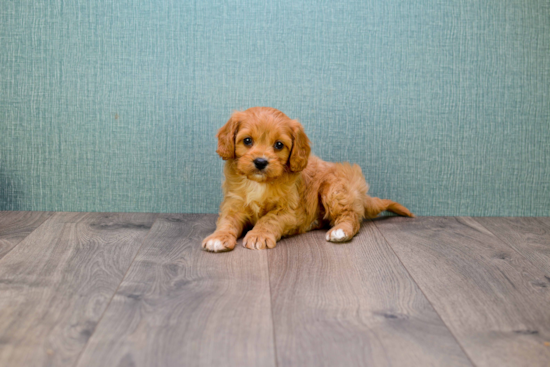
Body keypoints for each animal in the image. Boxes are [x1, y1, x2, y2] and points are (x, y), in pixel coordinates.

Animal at [203, 107, 414, 253]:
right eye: (247, 141)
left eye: (279, 145)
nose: (261, 162)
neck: (259, 183)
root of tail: (359, 192)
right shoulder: (233, 204)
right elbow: (227, 222)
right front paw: (218, 238)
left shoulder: (289, 210)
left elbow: (268, 219)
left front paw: (258, 235)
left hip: (334, 189)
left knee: (351, 216)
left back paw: (340, 231)